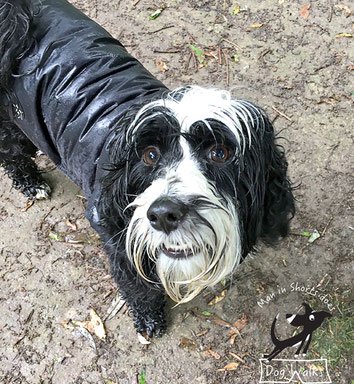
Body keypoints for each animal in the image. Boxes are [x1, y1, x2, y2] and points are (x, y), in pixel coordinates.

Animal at [0, 0, 294, 336]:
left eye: (220, 152)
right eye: (150, 155)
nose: (164, 214)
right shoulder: (116, 236)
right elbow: (137, 285)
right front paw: (149, 317)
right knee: (10, 153)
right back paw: (30, 181)